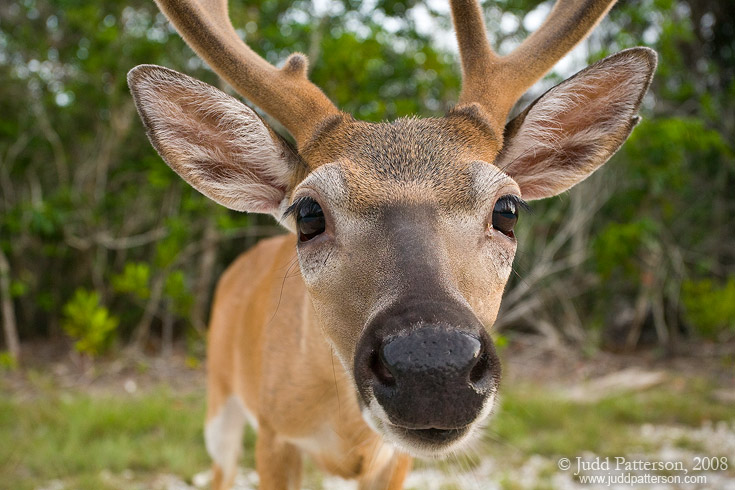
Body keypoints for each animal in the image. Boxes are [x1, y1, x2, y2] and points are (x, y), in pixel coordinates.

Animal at [126, 0, 656, 486]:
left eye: (507, 209)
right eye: (308, 214)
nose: (433, 364)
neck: (346, 432)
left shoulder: (392, 460)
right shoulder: (276, 435)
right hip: (221, 399)